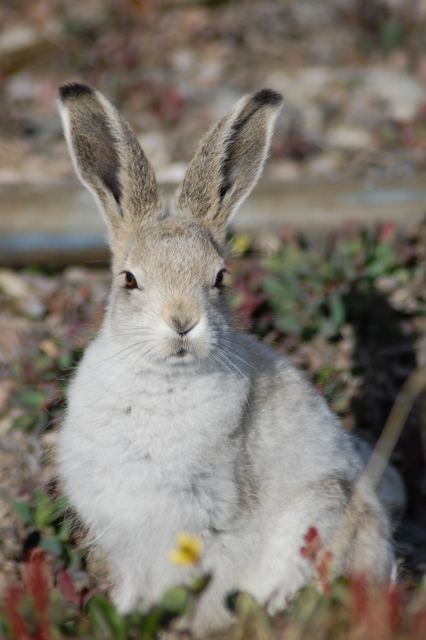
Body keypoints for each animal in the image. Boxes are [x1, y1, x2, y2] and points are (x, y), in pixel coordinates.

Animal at [56, 82, 404, 634]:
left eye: (219, 278)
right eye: (129, 280)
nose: (182, 321)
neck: (166, 378)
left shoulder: (208, 521)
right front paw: (130, 615)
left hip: (322, 514)